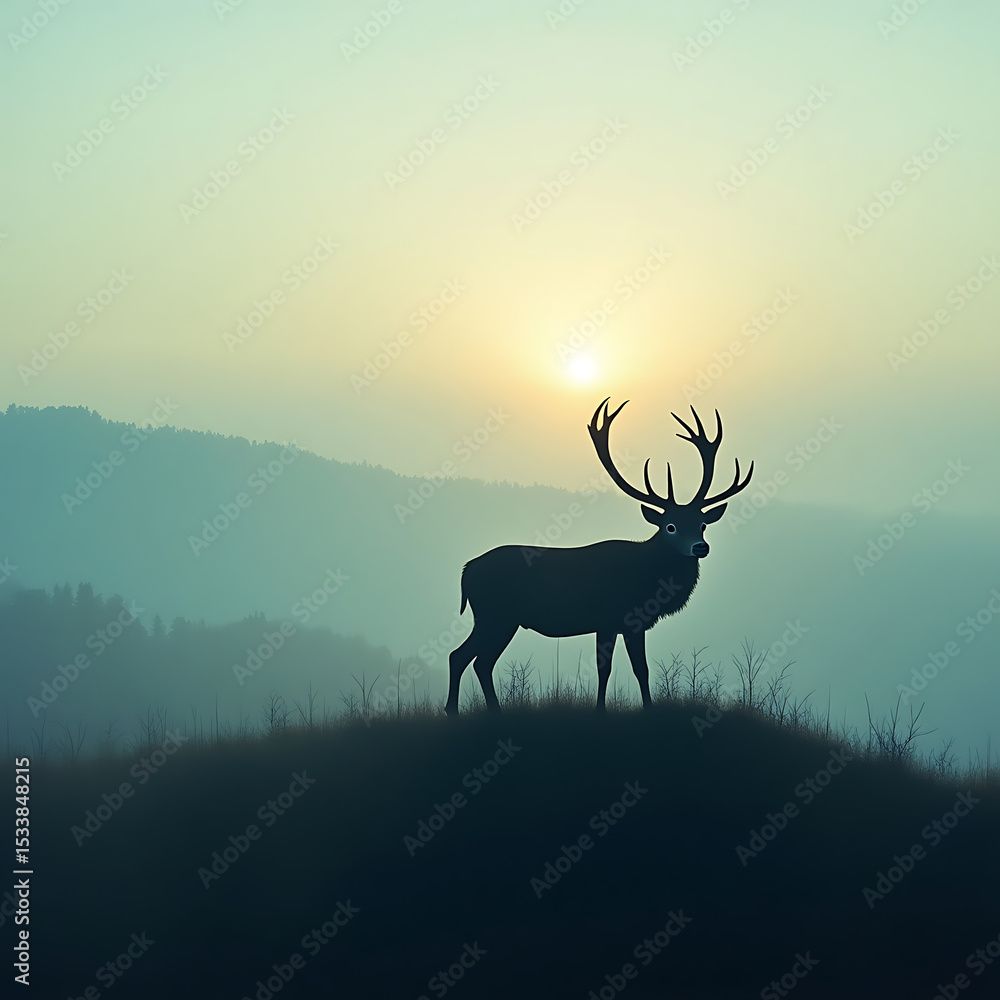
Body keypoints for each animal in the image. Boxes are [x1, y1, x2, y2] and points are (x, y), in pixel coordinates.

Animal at [444, 398, 753, 716]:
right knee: (469, 657)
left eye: (702, 524)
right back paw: (460, 710)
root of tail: (465, 571)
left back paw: (479, 710)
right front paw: (602, 710)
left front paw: (646, 709)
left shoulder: (632, 624)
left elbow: (641, 669)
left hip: (497, 618)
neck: (647, 580)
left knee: (472, 659)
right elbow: (607, 668)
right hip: (495, 615)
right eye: (671, 526)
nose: (700, 547)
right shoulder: (609, 618)